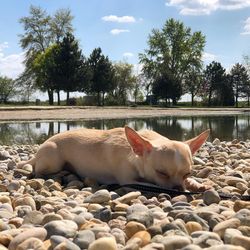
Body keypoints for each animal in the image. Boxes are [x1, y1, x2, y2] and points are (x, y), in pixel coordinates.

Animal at [17, 126, 209, 192]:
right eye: (161, 173)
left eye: (187, 173)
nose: (178, 188)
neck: (135, 155)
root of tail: (38, 152)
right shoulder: (129, 181)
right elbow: (153, 184)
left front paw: (195, 184)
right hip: (53, 157)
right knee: (38, 171)